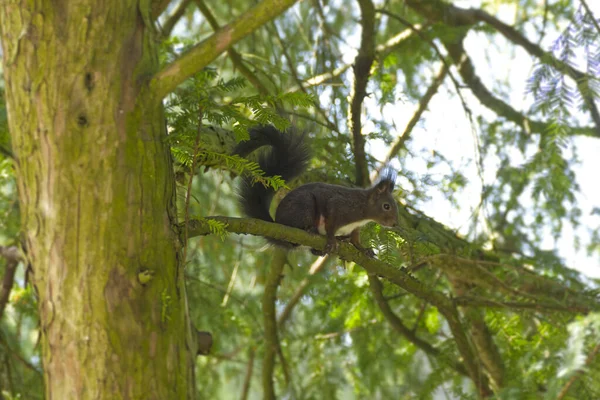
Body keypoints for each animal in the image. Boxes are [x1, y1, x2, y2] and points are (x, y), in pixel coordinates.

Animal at [234, 126, 398, 256]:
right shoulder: (340, 206)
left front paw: (364, 249)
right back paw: (311, 229)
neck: (363, 208)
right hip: (304, 206)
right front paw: (332, 239)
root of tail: (277, 223)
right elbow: (331, 224)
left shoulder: (355, 228)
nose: (395, 224)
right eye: (386, 206)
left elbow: (355, 240)